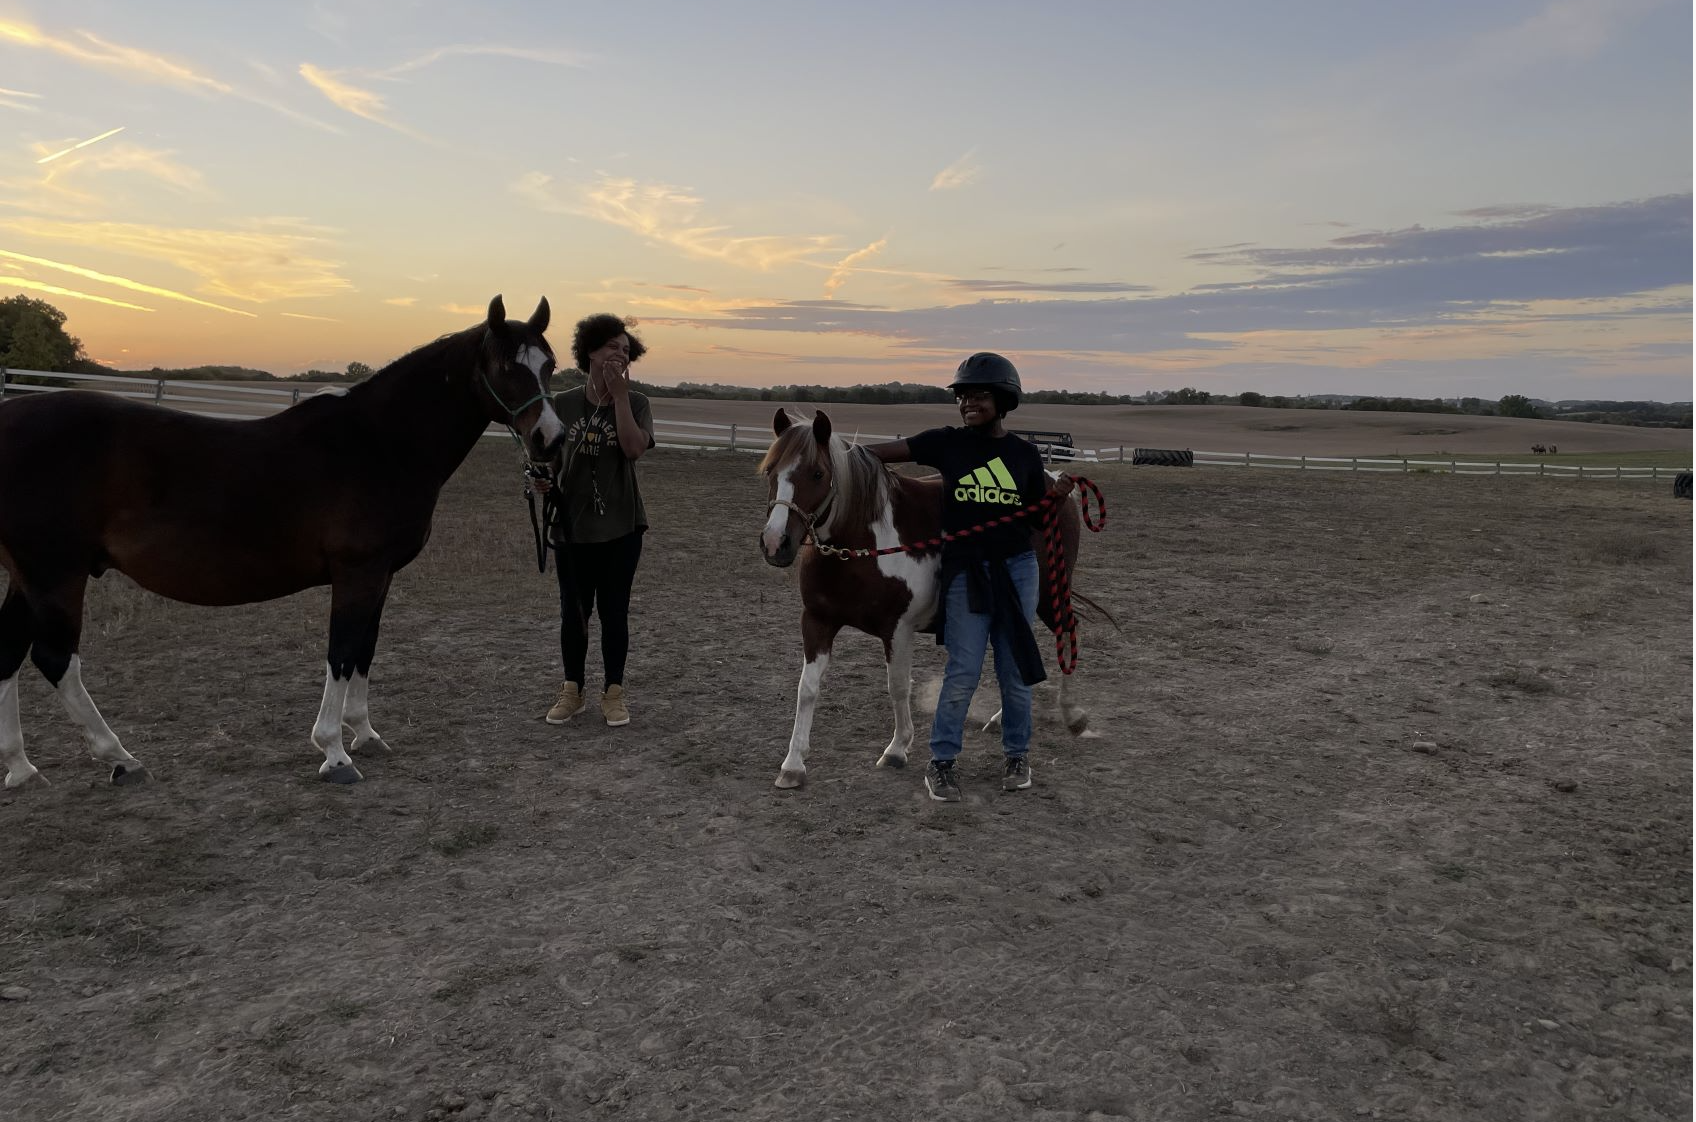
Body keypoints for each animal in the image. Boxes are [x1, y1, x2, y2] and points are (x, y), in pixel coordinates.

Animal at [0, 295, 564, 788]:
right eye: (506, 366)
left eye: (550, 365)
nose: (550, 440)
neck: (380, 444)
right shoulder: (357, 571)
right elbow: (342, 651)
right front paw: (334, 752)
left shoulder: (379, 574)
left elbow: (366, 648)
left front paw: (365, 734)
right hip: (55, 574)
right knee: (55, 660)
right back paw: (120, 758)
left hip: (29, 579)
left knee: (9, 654)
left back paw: (22, 769)